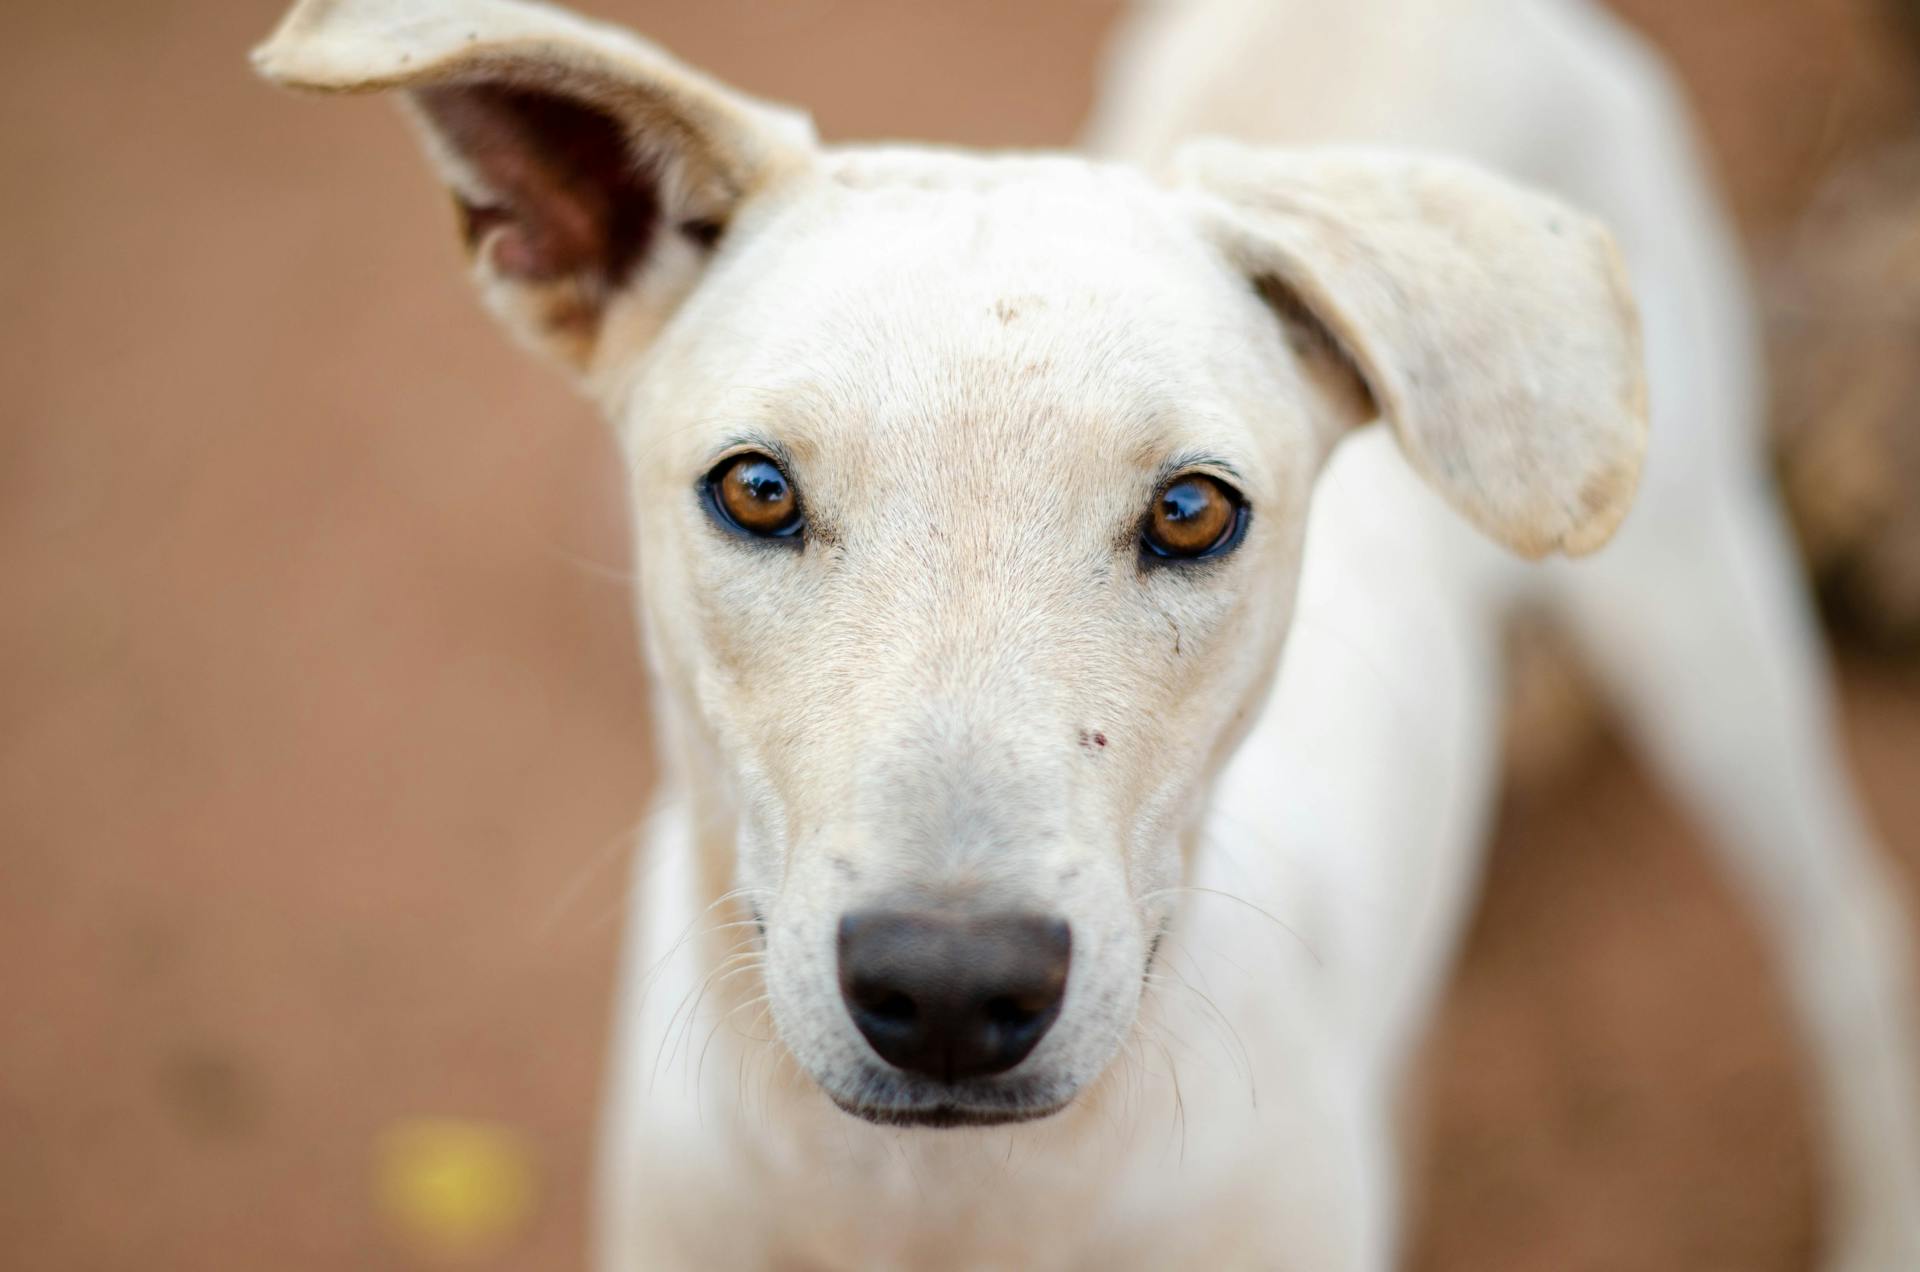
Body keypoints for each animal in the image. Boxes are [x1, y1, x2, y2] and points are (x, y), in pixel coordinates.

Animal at [255, 0, 1920, 1268]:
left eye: (1191, 512)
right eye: (755, 489)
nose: (947, 989)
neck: (939, 1209)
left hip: (1701, 608)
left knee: (1847, 953)